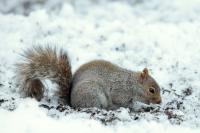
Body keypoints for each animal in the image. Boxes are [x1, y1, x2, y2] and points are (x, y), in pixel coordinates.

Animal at [16, 46, 162, 109]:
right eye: (151, 90)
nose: (160, 102)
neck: (131, 84)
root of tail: (72, 102)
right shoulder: (119, 92)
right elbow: (122, 102)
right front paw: (135, 108)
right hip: (91, 92)